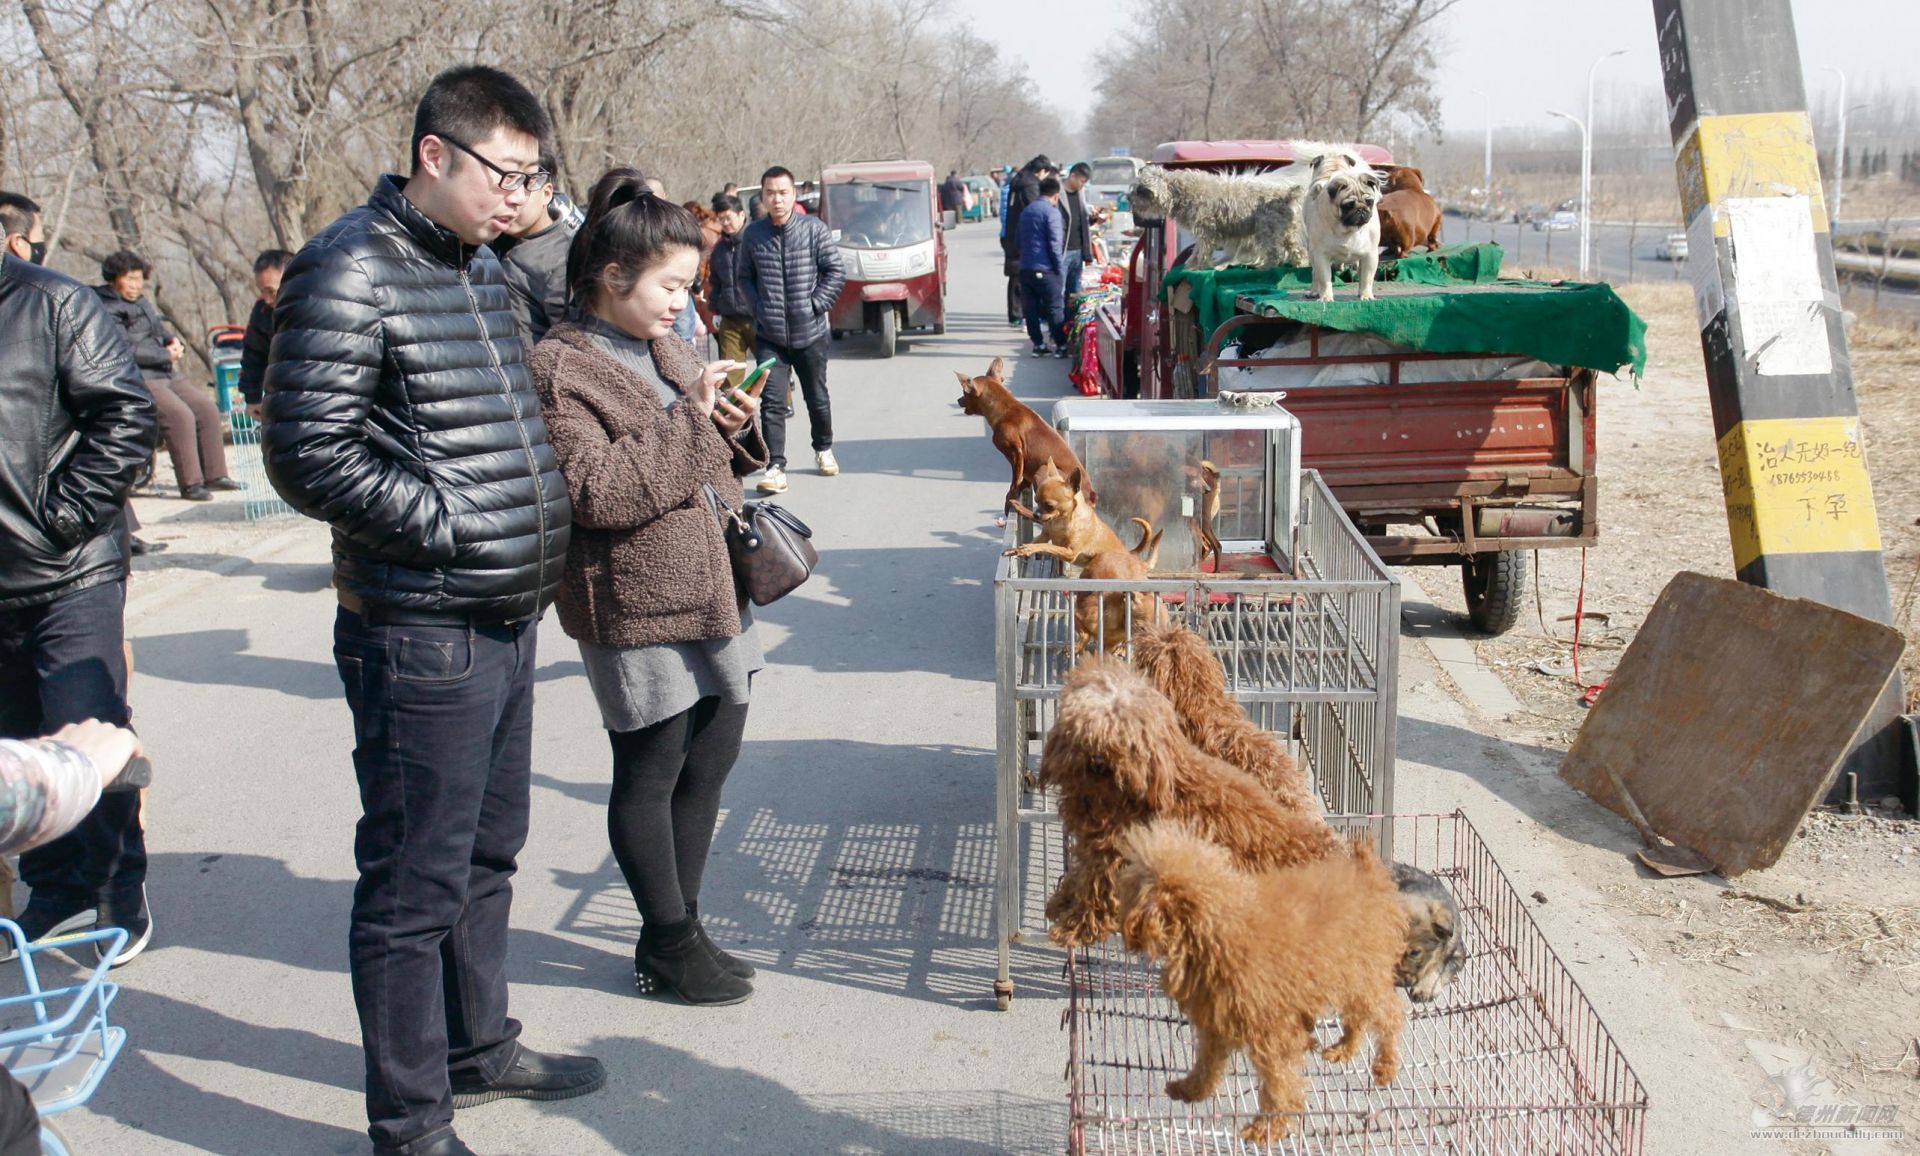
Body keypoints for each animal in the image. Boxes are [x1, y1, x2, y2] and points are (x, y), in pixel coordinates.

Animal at [1044, 656, 1344, 944]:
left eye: (1127, 737)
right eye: (1090, 726)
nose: (1099, 761)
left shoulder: (1112, 856)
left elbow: (1095, 895)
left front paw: (1072, 927)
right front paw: (1061, 900)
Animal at [1121, 814, 1405, 1136]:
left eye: (1129, 887)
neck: (1215, 930)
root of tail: (1367, 874)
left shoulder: (1271, 1030)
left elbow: (1278, 1081)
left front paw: (1267, 1128)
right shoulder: (1216, 1021)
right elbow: (1208, 1062)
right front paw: (1191, 1089)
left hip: (1363, 975)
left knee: (1389, 1015)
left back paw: (1385, 1066)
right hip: (1346, 977)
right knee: (1358, 1017)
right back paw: (1344, 1048)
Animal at [1305, 148, 1382, 301]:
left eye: (1369, 202)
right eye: (1348, 205)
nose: (1361, 210)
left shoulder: (1370, 255)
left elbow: (1367, 278)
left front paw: (1366, 295)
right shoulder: (1321, 255)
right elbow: (1324, 279)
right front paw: (1326, 297)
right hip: (1312, 253)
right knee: (1315, 274)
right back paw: (1315, 291)